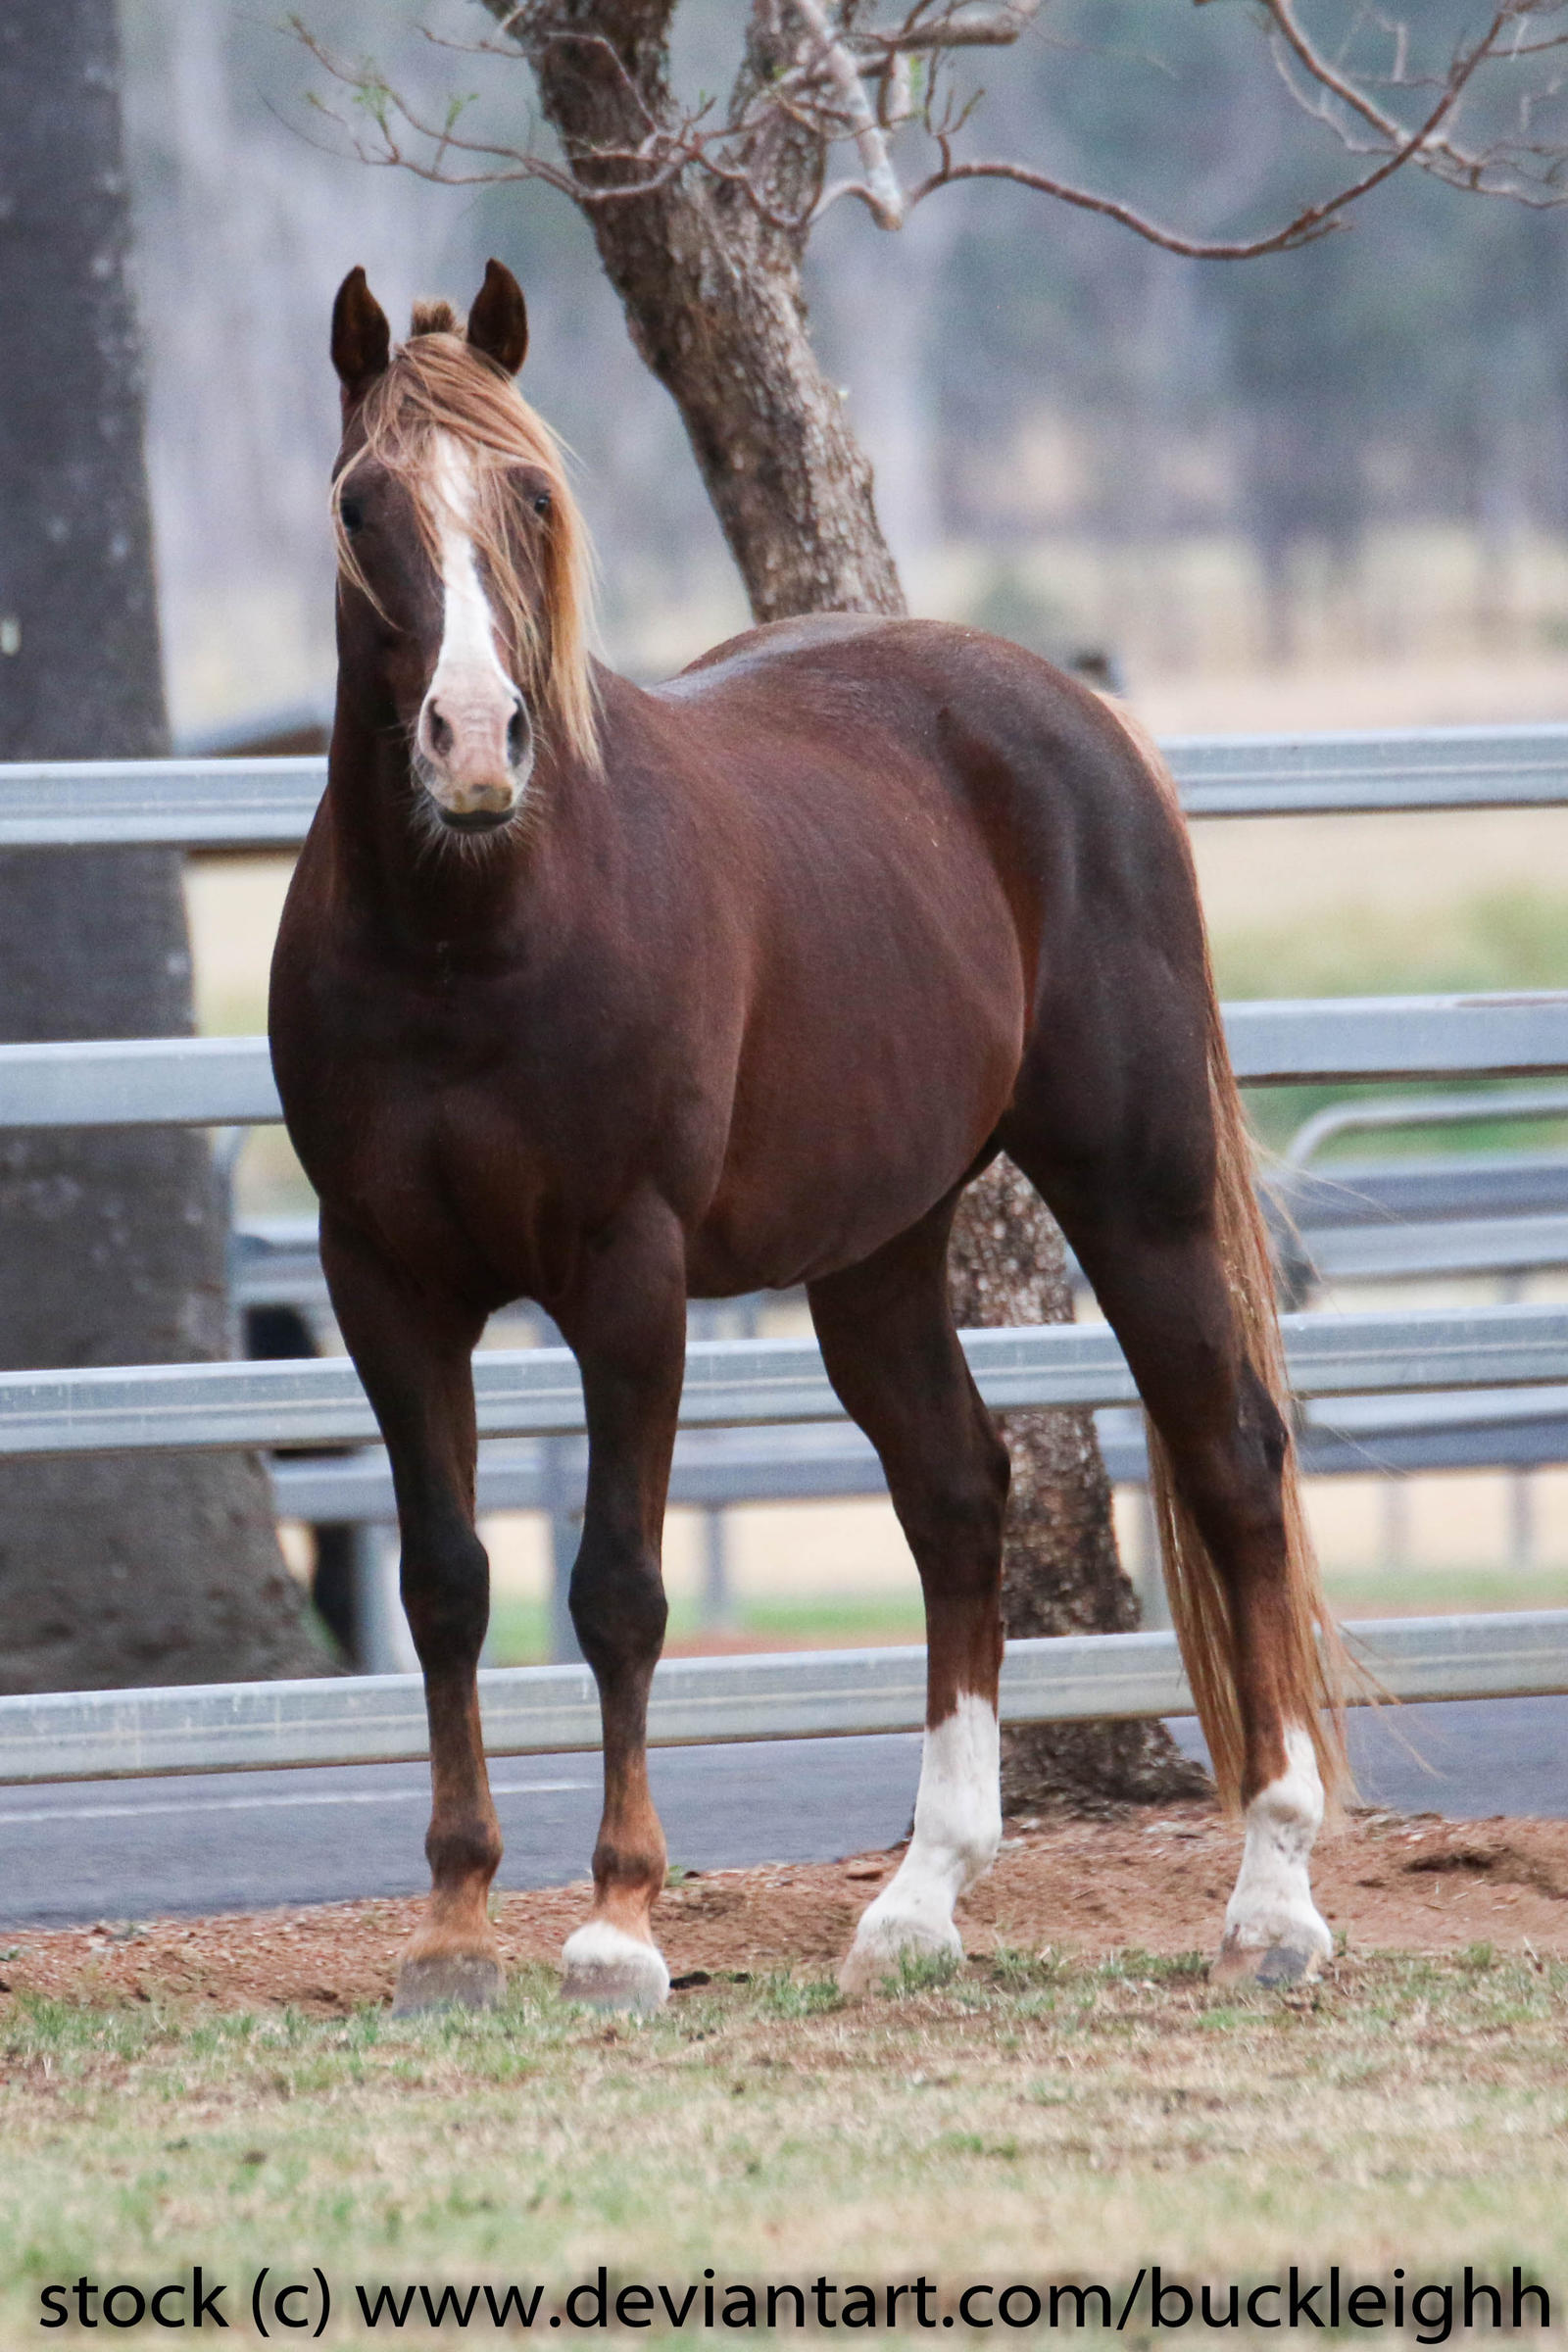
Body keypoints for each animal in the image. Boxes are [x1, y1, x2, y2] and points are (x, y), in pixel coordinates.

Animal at [269, 259, 1346, 2017]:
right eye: (365, 505)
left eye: (531, 494)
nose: (476, 745)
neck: (468, 931)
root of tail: (1083, 718)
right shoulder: (383, 1283)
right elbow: (445, 1586)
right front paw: (451, 1931)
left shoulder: (625, 1280)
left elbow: (618, 1591)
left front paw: (618, 1928)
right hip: (879, 1252)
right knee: (961, 1494)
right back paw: (921, 1899)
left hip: (1143, 1196)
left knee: (1235, 1464)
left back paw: (1274, 1904)